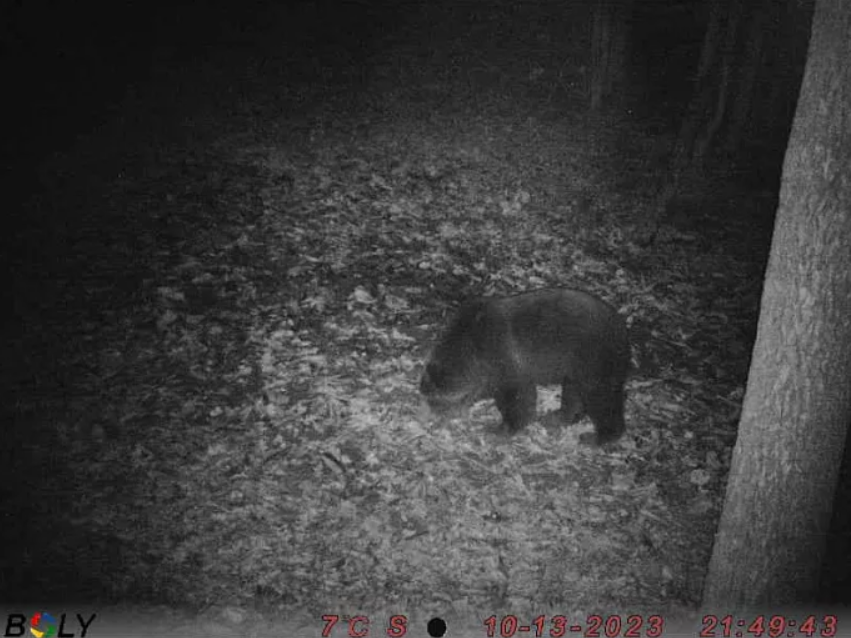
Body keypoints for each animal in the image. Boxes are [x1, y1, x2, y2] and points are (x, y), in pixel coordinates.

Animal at [422, 288, 632, 444]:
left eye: (435, 402)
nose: (433, 420)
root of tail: (623, 331)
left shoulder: (503, 355)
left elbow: (519, 395)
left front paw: (503, 428)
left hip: (595, 357)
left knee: (601, 396)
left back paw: (599, 436)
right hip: (576, 364)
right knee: (573, 390)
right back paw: (558, 416)